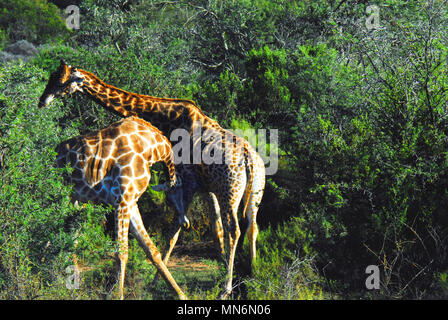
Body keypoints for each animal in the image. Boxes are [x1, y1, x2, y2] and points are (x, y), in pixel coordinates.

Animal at [54, 115, 187, 300]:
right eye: (177, 195)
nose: (185, 223)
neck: (151, 148)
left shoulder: (131, 202)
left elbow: (151, 250)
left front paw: (181, 295)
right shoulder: (121, 200)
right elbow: (121, 253)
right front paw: (118, 295)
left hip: (76, 203)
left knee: (68, 241)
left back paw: (71, 288)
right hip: (61, 199)